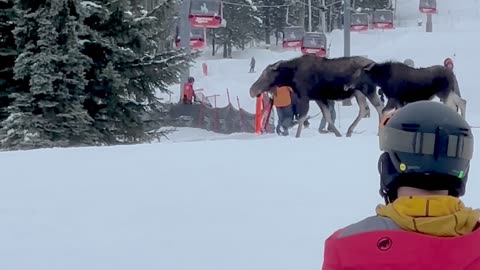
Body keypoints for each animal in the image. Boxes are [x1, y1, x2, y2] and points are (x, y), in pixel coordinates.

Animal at [249, 55, 384, 139]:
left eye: (265, 74)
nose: (251, 91)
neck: (290, 77)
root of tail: (375, 64)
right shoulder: (319, 98)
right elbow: (327, 116)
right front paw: (338, 134)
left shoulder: (304, 97)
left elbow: (302, 118)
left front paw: (297, 136)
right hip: (358, 92)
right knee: (364, 109)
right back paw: (350, 131)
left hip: (367, 90)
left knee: (378, 107)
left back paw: (378, 132)